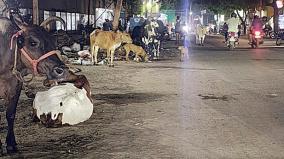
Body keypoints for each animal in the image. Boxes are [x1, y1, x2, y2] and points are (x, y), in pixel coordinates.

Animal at [0, 13, 88, 154]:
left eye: (53, 42)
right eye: (33, 42)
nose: (61, 70)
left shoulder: (16, 85)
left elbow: (10, 114)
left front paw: (11, 144)